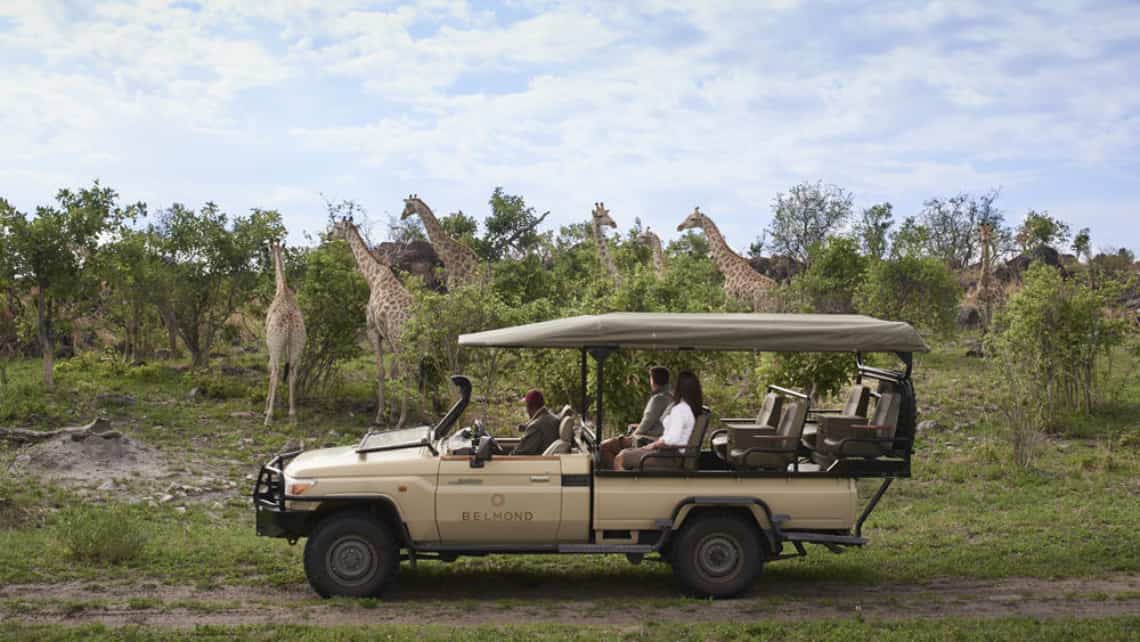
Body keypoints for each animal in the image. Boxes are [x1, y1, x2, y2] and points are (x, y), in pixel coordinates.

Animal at [330, 217, 414, 426]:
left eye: (337, 227)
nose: (328, 235)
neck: (372, 277)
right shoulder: (387, 337)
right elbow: (392, 373)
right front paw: (391, 412)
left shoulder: (373, 331)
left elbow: (381, 372)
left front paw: (380, 415)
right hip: (410, 341)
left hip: (400, 340)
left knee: (406, 372)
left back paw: (402, 420)